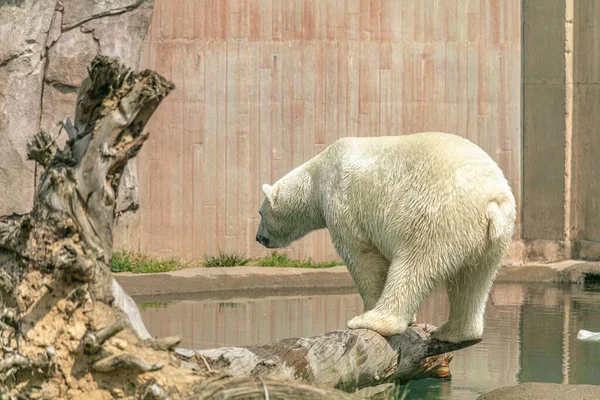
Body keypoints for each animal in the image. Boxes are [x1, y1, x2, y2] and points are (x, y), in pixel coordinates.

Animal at [254, 133, 516, 342]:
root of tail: (492, 200)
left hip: (436, 217)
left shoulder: (342, 204)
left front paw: (369, 307)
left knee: (414, 266)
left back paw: (372, 320)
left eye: (260, 213)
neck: (317, 175)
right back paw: (454, 332)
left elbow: (363, 258)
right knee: (472, 280)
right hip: (491, 239)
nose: (259, 238)